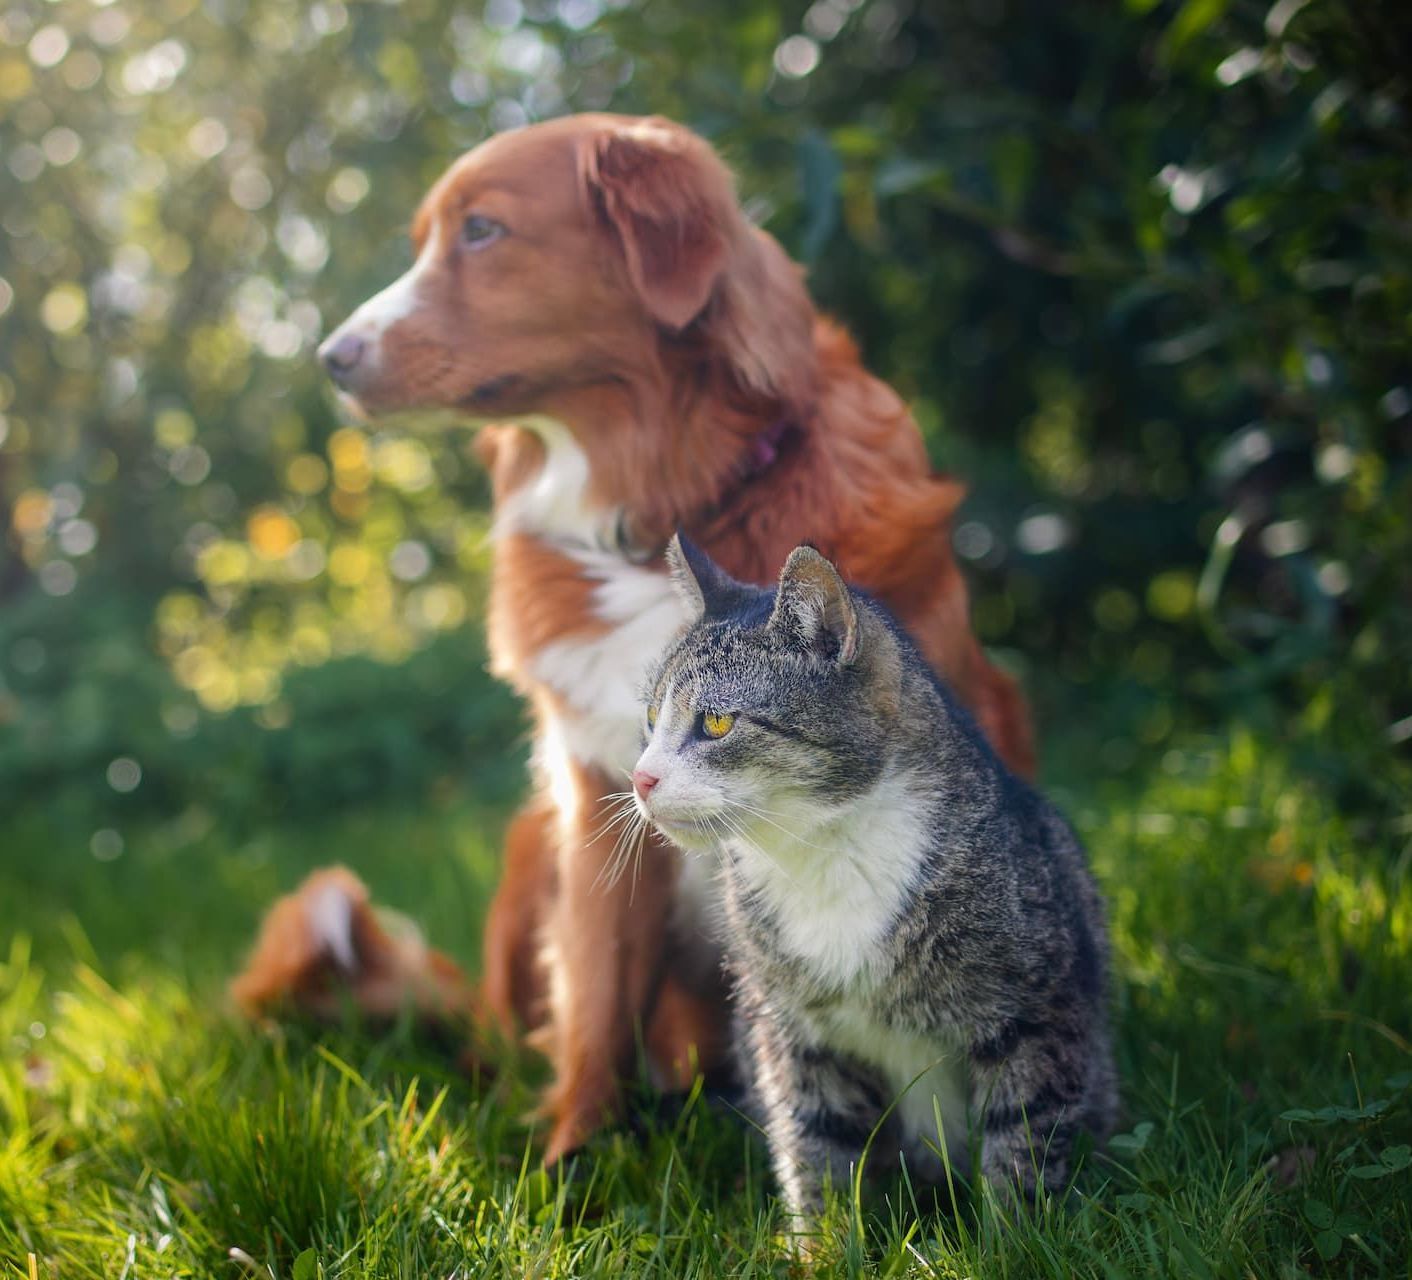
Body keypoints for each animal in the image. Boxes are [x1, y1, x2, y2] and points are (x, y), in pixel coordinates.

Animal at [314, 115, 1033, 1168]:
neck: (662, 515)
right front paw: (572, 1163)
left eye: (482, 230)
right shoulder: (595, 794)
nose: (329, 356)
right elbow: (597, 999)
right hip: (530, 847)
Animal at [629, 536, 1112, 1236]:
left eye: (716, 723)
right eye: (650, 717)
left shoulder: (1037, 1007)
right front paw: (822, 1245)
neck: (822, 854)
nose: (640, 778)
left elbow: (1022, 1138)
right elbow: (816, 1146)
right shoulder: (793, 1034)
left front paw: (1016, 1241)